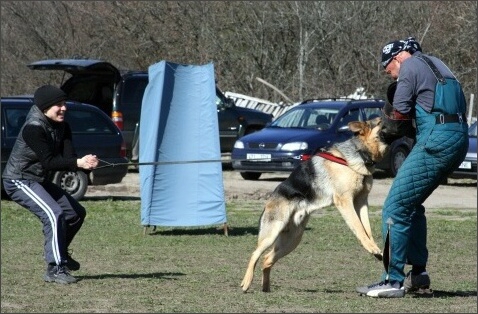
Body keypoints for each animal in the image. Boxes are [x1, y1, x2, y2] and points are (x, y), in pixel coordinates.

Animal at [241, 117, 390, 292]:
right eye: (378, 121)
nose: (388, 117)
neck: (360, 154)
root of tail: (268, 202)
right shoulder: (345, 201)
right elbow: (359, 228)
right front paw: (372, 247)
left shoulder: (361, 201)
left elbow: (367, 229)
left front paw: (375, 249)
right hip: (272, 233)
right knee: (255, 254)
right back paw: (246, 282)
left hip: (292, 240)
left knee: (266, 258)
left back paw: (266, 288)